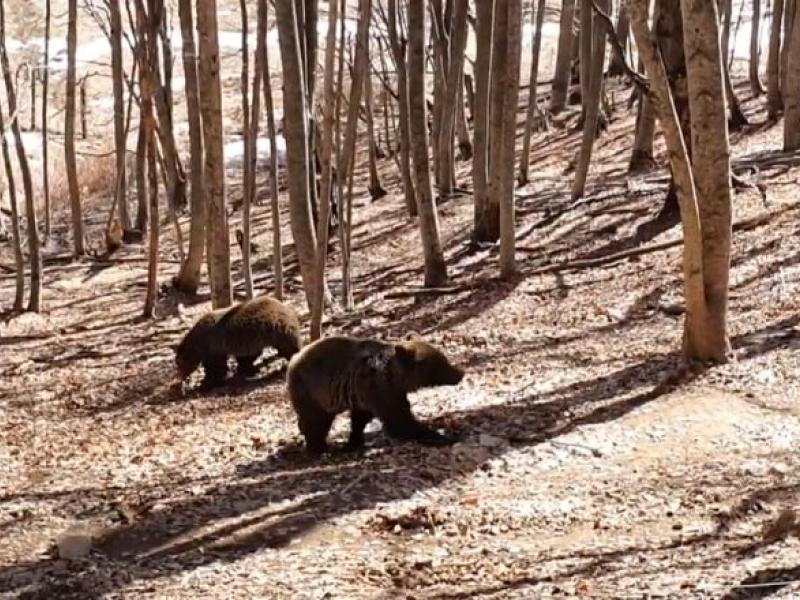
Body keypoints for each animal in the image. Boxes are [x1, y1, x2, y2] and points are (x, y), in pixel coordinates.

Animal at [173, 296, 302, 390]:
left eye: (179, 364)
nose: (179, 378)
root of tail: (288, 309)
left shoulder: (213, 346)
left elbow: (216, 366)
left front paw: (206, 383)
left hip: (278, 329)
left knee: (289, 348)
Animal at [286, 336, 462, 452]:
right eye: (442, 362)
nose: (460, 373)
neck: (395, 376)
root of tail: (293, 360)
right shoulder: (378, 389)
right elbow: (398, 420)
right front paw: (443, 436)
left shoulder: (372, 394)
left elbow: (361, 418)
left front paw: (355, 441)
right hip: (310, 390)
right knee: (315, 422)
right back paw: (318, 448)